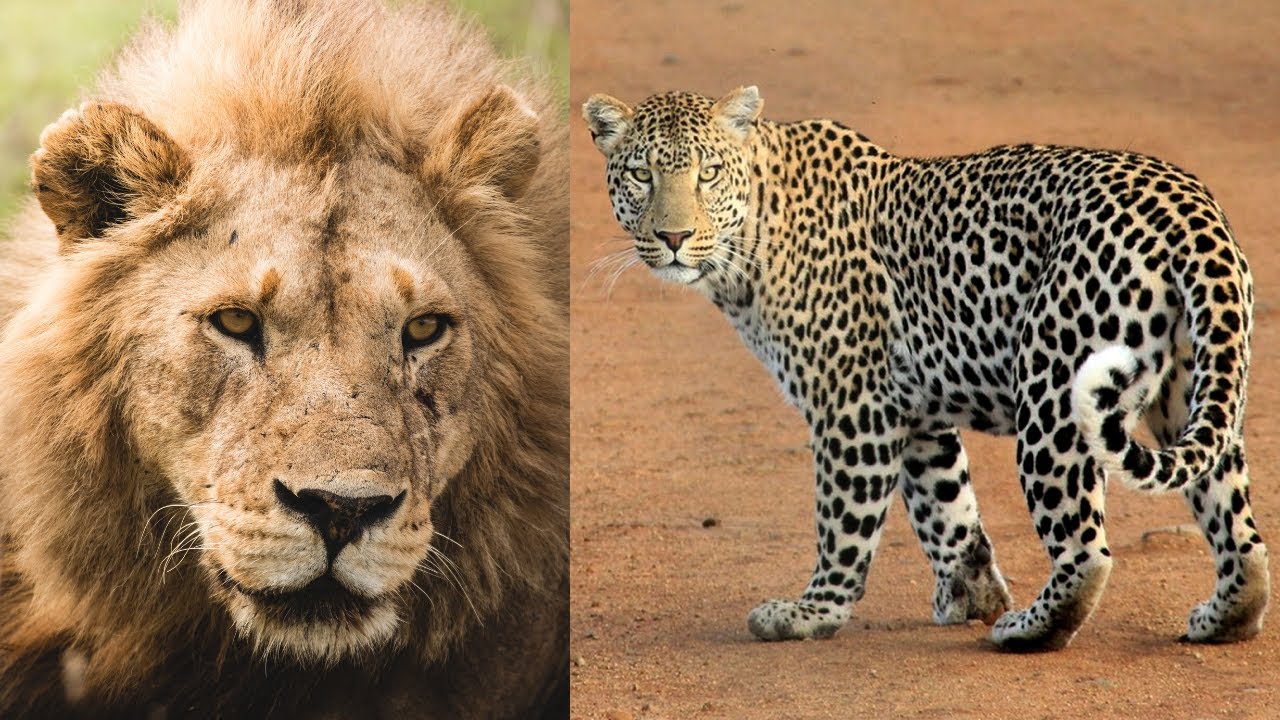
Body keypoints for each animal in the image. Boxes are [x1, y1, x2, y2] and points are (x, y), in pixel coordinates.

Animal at [582, 86, 1268, 651]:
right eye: (642, 175)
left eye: (708, 174)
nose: (673, 238)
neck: (750, 241)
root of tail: (1189, 209)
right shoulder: (913, 410)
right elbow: (947, 508)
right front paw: (971, 593)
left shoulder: (852, 406)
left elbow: (844, 521)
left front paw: (812, 613)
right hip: (1192, 389)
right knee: (1239, 528)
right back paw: (1224, 618)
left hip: (1053, 392)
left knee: (1085, 551)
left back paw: (1027, 629)